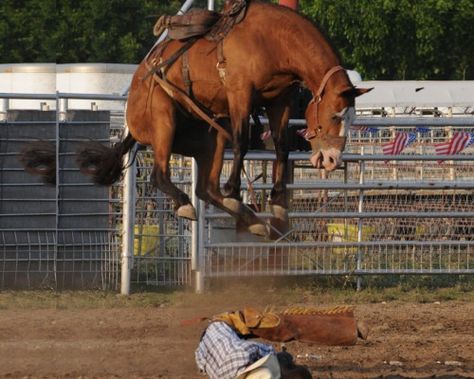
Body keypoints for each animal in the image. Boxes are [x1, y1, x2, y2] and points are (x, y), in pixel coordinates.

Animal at [77, 0, 370, 238]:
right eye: (333, 114)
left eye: (352, 118)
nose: (332, 159)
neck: (272, 42)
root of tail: (138, 82)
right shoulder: (240, 94)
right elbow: (241, 143)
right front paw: (233, 188)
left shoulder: (280, 101)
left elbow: (281, 148)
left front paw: (277, 203)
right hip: (163, 121)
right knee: (160, 176)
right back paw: (191, 205)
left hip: (213, 137)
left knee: (205, 189)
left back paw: (251, 219)